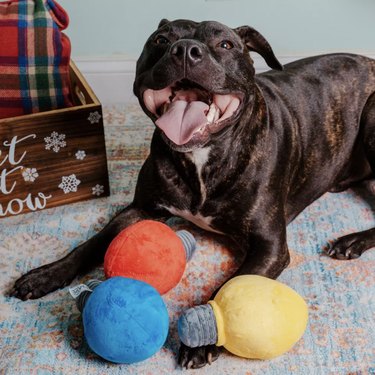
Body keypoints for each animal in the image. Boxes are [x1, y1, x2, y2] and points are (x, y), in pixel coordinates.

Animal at [10, 19, 375, 370]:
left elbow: (229, 284)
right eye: (160, 40)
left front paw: (203, 337)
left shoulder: (270, 247)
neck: (202, 156)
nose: (186, 49)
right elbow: (93, 243)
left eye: (225, 44)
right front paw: (46, 274)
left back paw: (351, 241)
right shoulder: (141, 208)